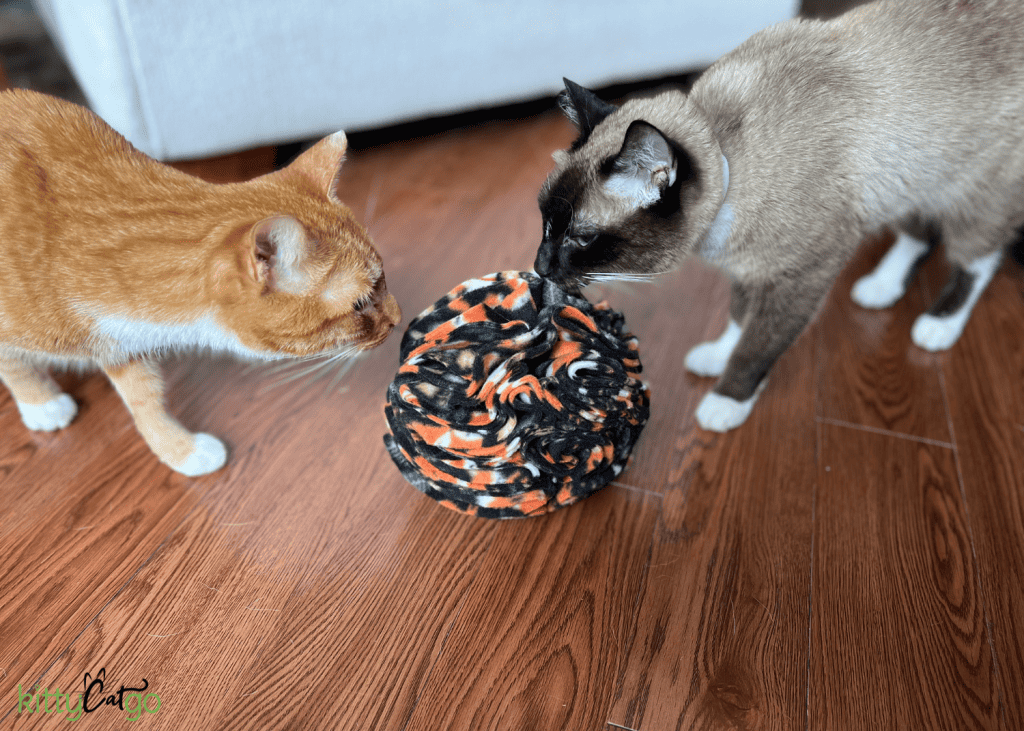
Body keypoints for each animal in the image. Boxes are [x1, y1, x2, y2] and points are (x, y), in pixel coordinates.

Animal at [0, 88, 399, 475]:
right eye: (360, 303)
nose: (398, 319)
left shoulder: (121, 344)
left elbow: (145, 399)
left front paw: (179, 450)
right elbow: (15, 366)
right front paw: (41, 402)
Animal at [536, 0, 1024, 430]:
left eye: (581, 238)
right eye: (545, 223)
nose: (539, 267)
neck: (730, 162)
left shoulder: (798, 276)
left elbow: (755, 345)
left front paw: (726, 401)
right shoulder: (750, 267)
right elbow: (738, 318)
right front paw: (716, 357)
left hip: (970, 191)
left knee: (979, 259)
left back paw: (938, 325)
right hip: (911, 179)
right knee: (918, 235)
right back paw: (880, 287)